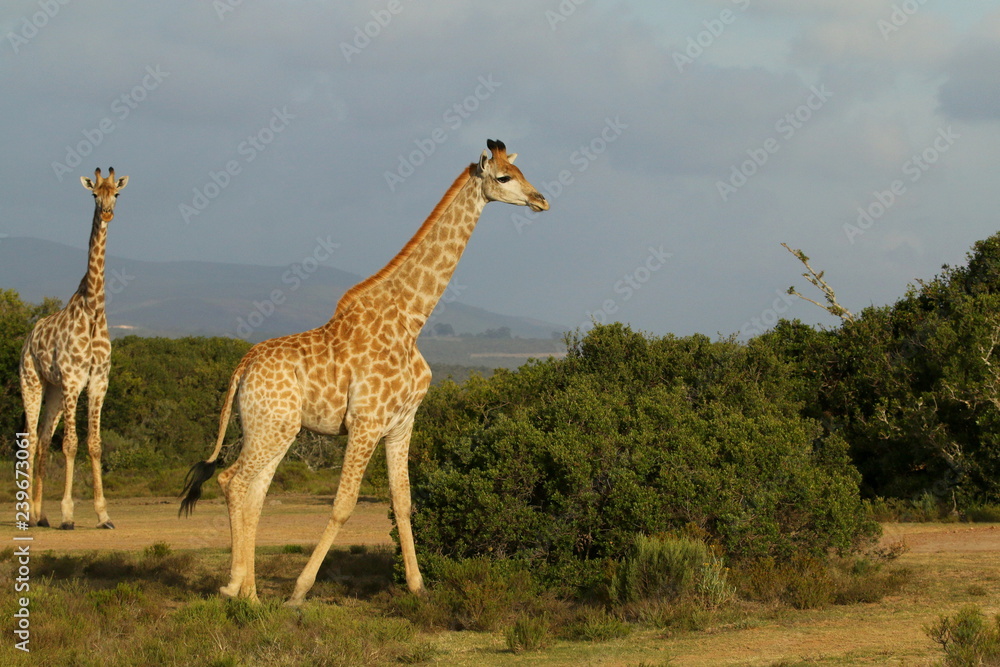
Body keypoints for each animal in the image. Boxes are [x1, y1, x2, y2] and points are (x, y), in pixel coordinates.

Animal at [20, 167, 128, 530]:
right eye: (94, 194)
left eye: (116, 193)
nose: (107, 213)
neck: (94, 310)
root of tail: (28, 337)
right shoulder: (72, 380)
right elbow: (70, 444)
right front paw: (67, 514)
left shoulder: (98, 382)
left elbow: (94, 444)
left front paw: (104, 515)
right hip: (33, 382)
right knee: (29, 439)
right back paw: (29, 516)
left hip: (53, 390)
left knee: (41, 440)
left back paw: (40, 515)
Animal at [180, 139, 548, 604]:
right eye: (503, 177)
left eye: (522, 171)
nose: (541, 200)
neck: (411, 320)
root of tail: (241, 368)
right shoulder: (365, 422)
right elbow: (344, 504)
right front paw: (299, 591)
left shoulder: (401, 423)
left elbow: (403, 501)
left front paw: (418, 588)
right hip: (270, 429)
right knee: (233, 481)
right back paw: (234, 587)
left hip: (274, 428)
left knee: (254, 493)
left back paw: (252, 595)